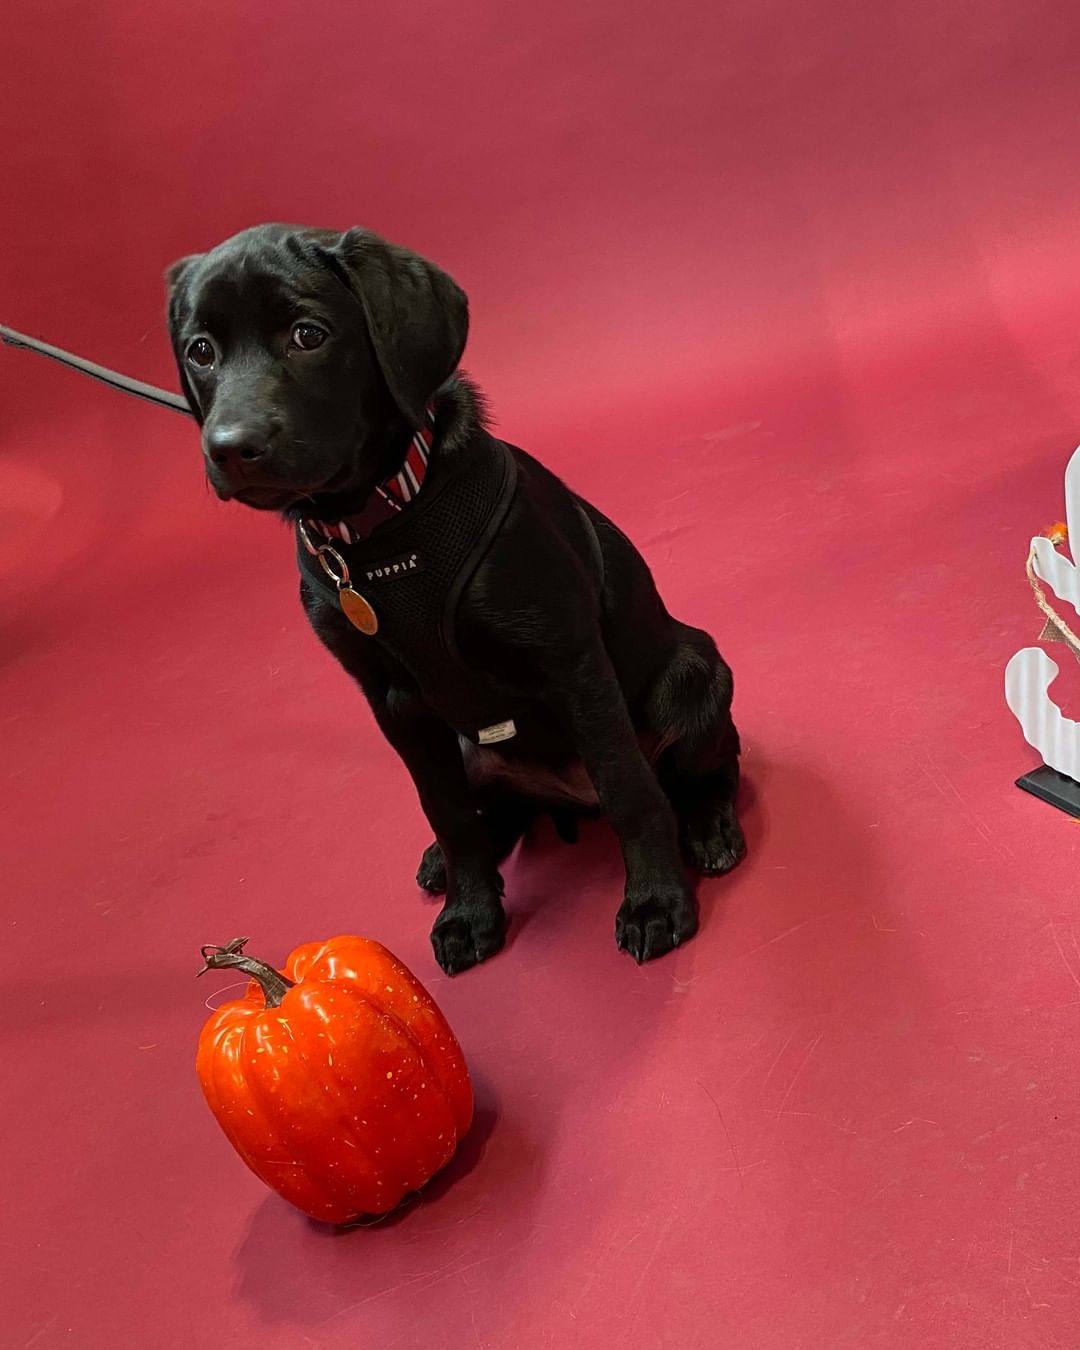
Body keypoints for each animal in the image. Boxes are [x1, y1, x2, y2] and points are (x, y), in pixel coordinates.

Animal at [166, 226, 745, 977]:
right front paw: (470, 911)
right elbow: (443, 809)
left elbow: (629, 787)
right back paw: (445, 863)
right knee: (490, 812)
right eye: (200, 351)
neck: (378, 532)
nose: (231, 448)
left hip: (695, 671)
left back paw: (709, 828)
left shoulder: (570, 660)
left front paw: (654, 902)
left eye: (307, 335)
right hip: (473, 747)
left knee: (701, 768)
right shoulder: (392, 702)